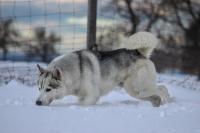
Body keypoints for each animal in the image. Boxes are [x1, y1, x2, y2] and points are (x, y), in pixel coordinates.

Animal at [35, 31, 170, 106]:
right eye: (39, 89)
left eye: (48, 89)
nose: (37, 102)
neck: (77, 70)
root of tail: (140, 53)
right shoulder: (82, 95)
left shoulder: (93, 96)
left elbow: (81, 104)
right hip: (136, 92)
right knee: (156, 98)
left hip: (136, 89)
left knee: (162, 88)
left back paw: (169, 103)